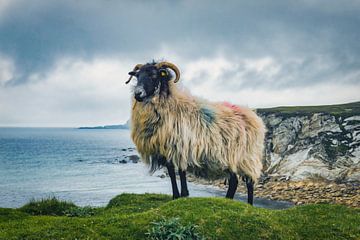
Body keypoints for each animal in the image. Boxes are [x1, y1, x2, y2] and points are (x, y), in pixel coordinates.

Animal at [126, 60, 264, 204]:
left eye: (153, 75)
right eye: (137, 76)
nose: (137, 94)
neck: (170, 104)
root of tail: (254, 117)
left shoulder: (180, 147)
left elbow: (181, 172)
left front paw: (183, 195)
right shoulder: (166, 150)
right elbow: (171, 172)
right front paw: (175, 196)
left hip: (247, 157)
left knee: (249, 183)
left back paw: (249, 204)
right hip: (231, 159)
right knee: (234, 181)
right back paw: (227, 200)